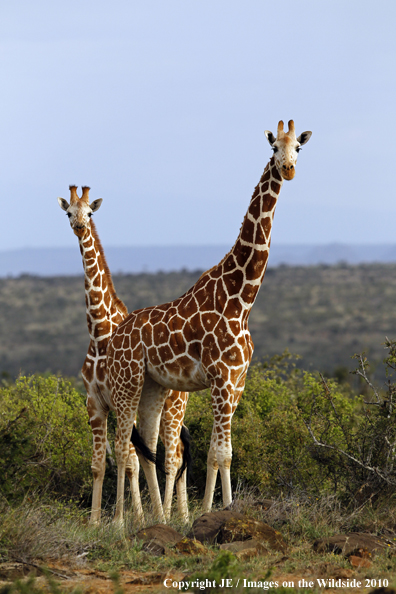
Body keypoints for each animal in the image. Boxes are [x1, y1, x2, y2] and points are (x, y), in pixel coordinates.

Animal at [56, 186, 190, 524]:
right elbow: (100, 464)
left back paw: (176, 516)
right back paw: (180, 516)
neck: (100, 336)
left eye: (90, 211)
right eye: (68, 212)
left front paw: (130, 519)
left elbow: (129, 461)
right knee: (174, 454)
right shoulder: (94, 403)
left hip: (174, 408)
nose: (80, 227)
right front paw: (95, 522)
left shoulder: (121, 402)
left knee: (173, 456)